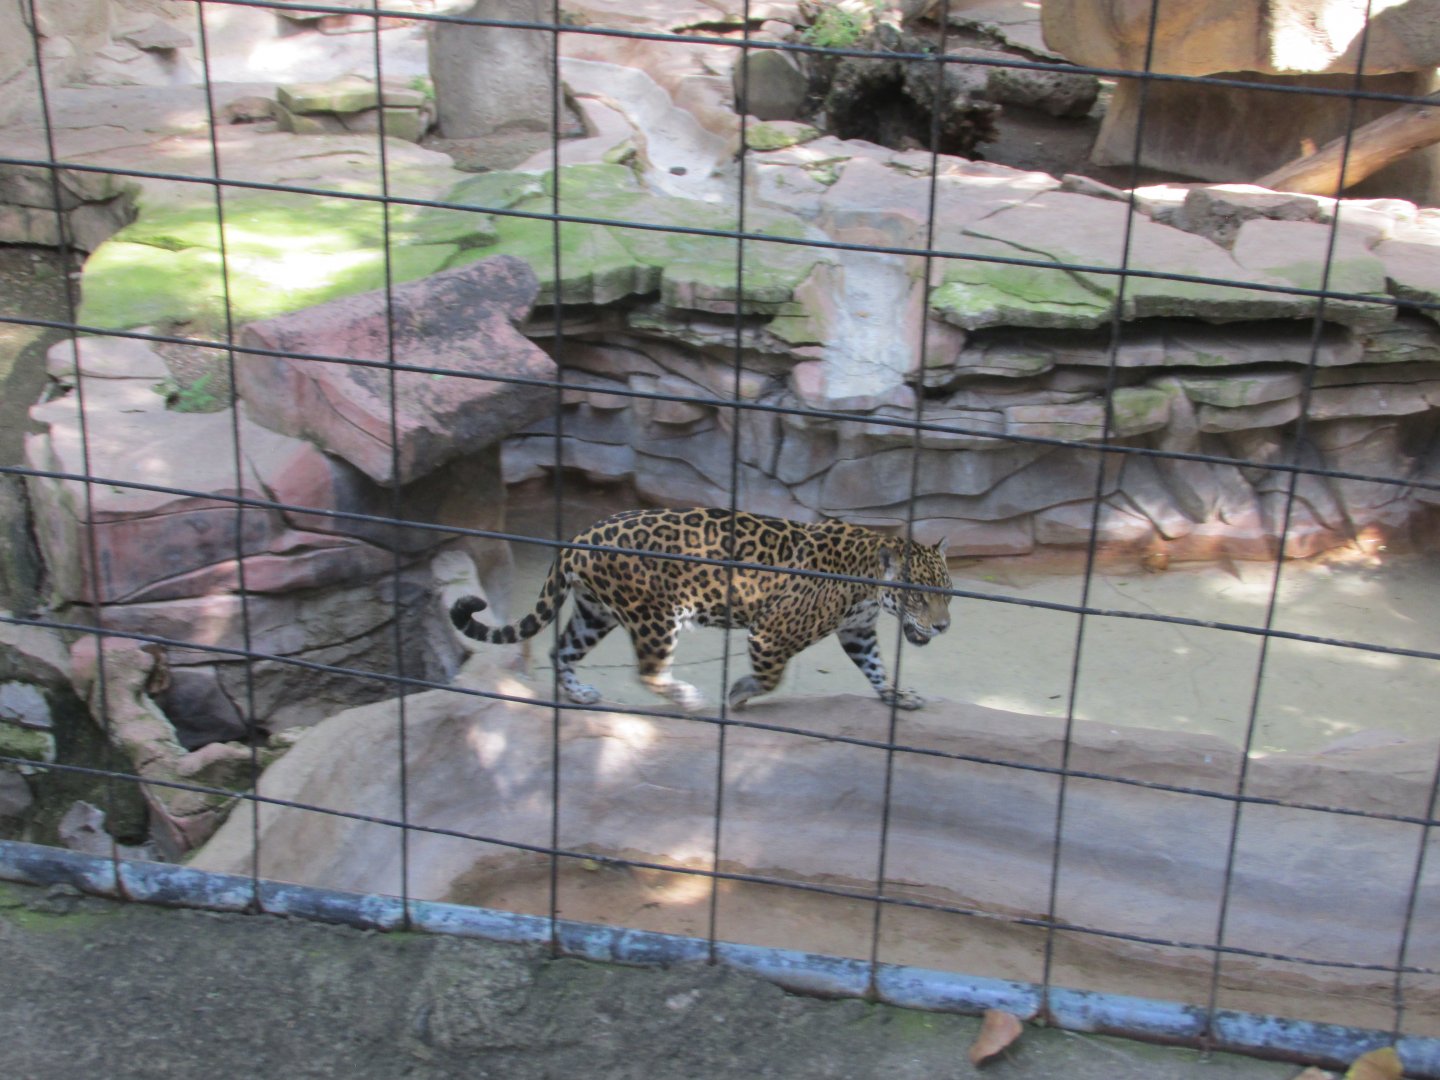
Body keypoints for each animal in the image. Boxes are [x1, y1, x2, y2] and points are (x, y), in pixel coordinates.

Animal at [448, 507, 952, 712]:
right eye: (918, 596)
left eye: (946, 593)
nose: (944, 627)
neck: (867, 583)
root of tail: (578, 537)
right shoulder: (770, 632)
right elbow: (771, 677)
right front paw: (739, 693)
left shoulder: (858, 631)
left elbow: (876, 669)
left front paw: (898, 697)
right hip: (653, 615)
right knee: (648, 673)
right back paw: (689, 697)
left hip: (595, 613)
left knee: (562, 652)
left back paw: (581, 694)